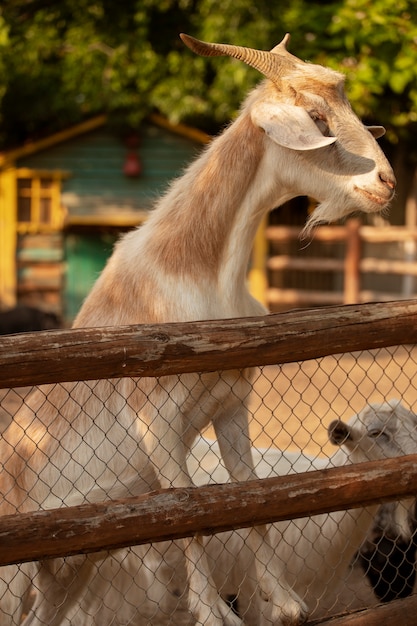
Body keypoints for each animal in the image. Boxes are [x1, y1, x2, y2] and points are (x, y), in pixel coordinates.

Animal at [0, 34, 394, 624]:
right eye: (317, 117)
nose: (386, 182)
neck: (198, 269)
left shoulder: (231, 401)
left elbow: (247, 492)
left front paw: (282, 600)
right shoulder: (157, 419)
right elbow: (188, 508)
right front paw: (214, 613)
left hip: (68, 566)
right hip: (16, 571)